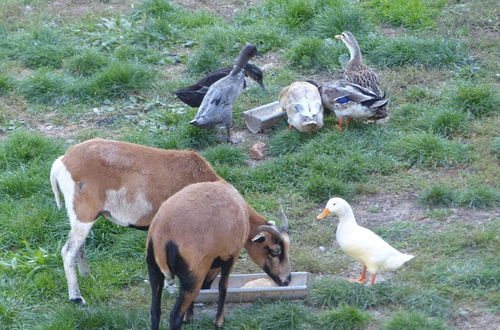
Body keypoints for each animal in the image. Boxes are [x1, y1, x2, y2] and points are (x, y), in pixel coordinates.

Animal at [49, 138, 220, 302]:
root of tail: (63, 160)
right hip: (84, 216)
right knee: (68, 251)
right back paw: (76, 298)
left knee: (79, 247)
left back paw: (87, 276)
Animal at [146, 180, 292, 330]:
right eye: (275, 252)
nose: (287, 280)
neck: (244, 213)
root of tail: (163, 236)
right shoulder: (231, 255)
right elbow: (223, 286)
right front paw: (219, 321)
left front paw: (190, 316)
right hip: (193, 276)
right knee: (175, 317)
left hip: (154, 269)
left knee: (155, 312)